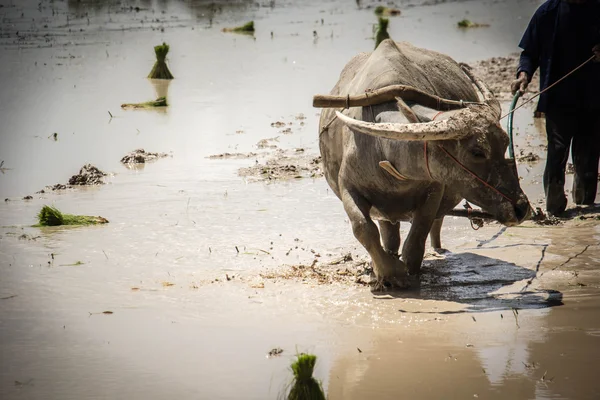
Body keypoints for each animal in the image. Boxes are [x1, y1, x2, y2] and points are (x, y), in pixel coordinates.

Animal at [318, 40, 528, 288]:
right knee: (389, 233)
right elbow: (363, 227)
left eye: (505, 142)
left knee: (434, 225)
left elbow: (419, 231)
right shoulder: (348, 187)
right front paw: (388, 272)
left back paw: (438, 250)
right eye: (477, 152)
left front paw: (407, 270)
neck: (388, 160)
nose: (522, 207)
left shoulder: (434, 189)